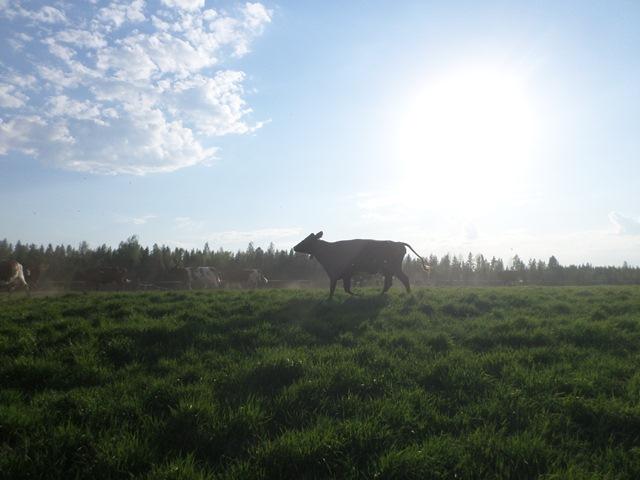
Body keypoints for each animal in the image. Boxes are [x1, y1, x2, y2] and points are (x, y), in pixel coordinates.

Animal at [293, 231, 430, 298]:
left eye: (306, 240)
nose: (294, 247)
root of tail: (398, 243)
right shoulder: (344, 276)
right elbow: (346, 289)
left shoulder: (336, 275)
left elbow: (335, 289)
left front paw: (329, 300)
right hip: (388, 270)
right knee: (390, 282)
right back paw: (381, 294)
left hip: (393, 268)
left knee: (404, 278)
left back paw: (408, 294)